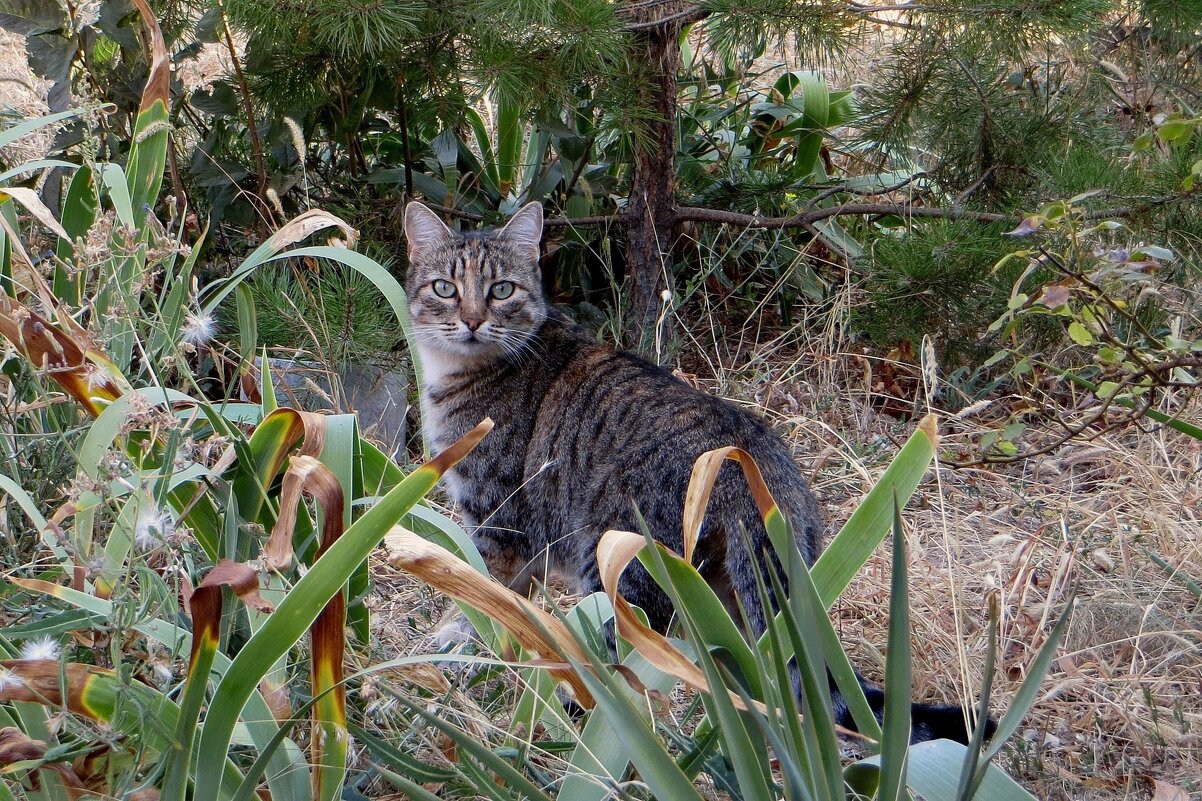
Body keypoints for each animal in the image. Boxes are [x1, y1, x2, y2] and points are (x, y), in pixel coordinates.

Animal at [403, 200, 985, 740]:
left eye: (501, 290)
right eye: (445, 288)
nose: (472, 320)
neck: (460, 375)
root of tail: (751, 458)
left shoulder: (499, 523)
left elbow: (478, 591)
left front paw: (455, 647)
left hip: (619, 564)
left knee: (631, 667)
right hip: (732, 595)